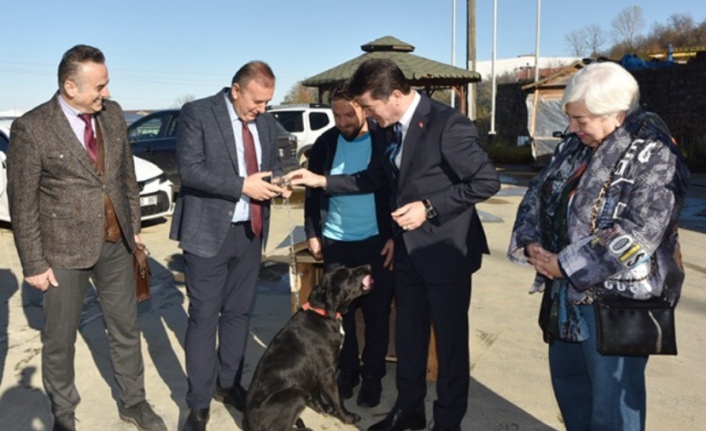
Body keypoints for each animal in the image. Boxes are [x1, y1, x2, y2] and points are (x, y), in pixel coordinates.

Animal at [243, 264, 374, 431]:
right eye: (348, 274)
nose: (368, 266)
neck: (323, 313)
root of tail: (248, 422)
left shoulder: (316, 373)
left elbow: (316, 392)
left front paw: (323, 408)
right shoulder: (327, 372)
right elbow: (337, 399)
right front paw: (348, 417)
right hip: (296, 395)